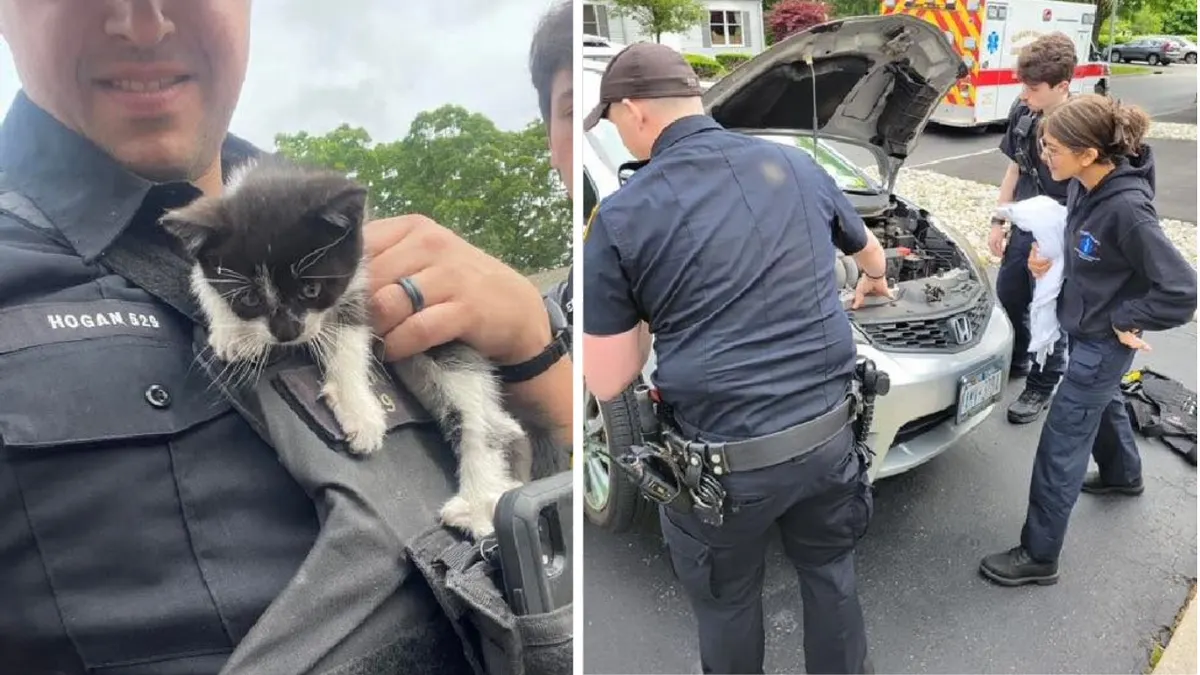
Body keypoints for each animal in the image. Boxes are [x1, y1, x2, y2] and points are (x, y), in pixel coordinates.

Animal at [160, 157, 525, 535]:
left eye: (311, 290)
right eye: (249, 298)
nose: (287, 332)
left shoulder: (360, 276)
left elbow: (349, 337)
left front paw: (358, 410)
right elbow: (201, 279)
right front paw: (233, 332)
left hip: (446, 348)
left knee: (486, 422)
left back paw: (478, 502)